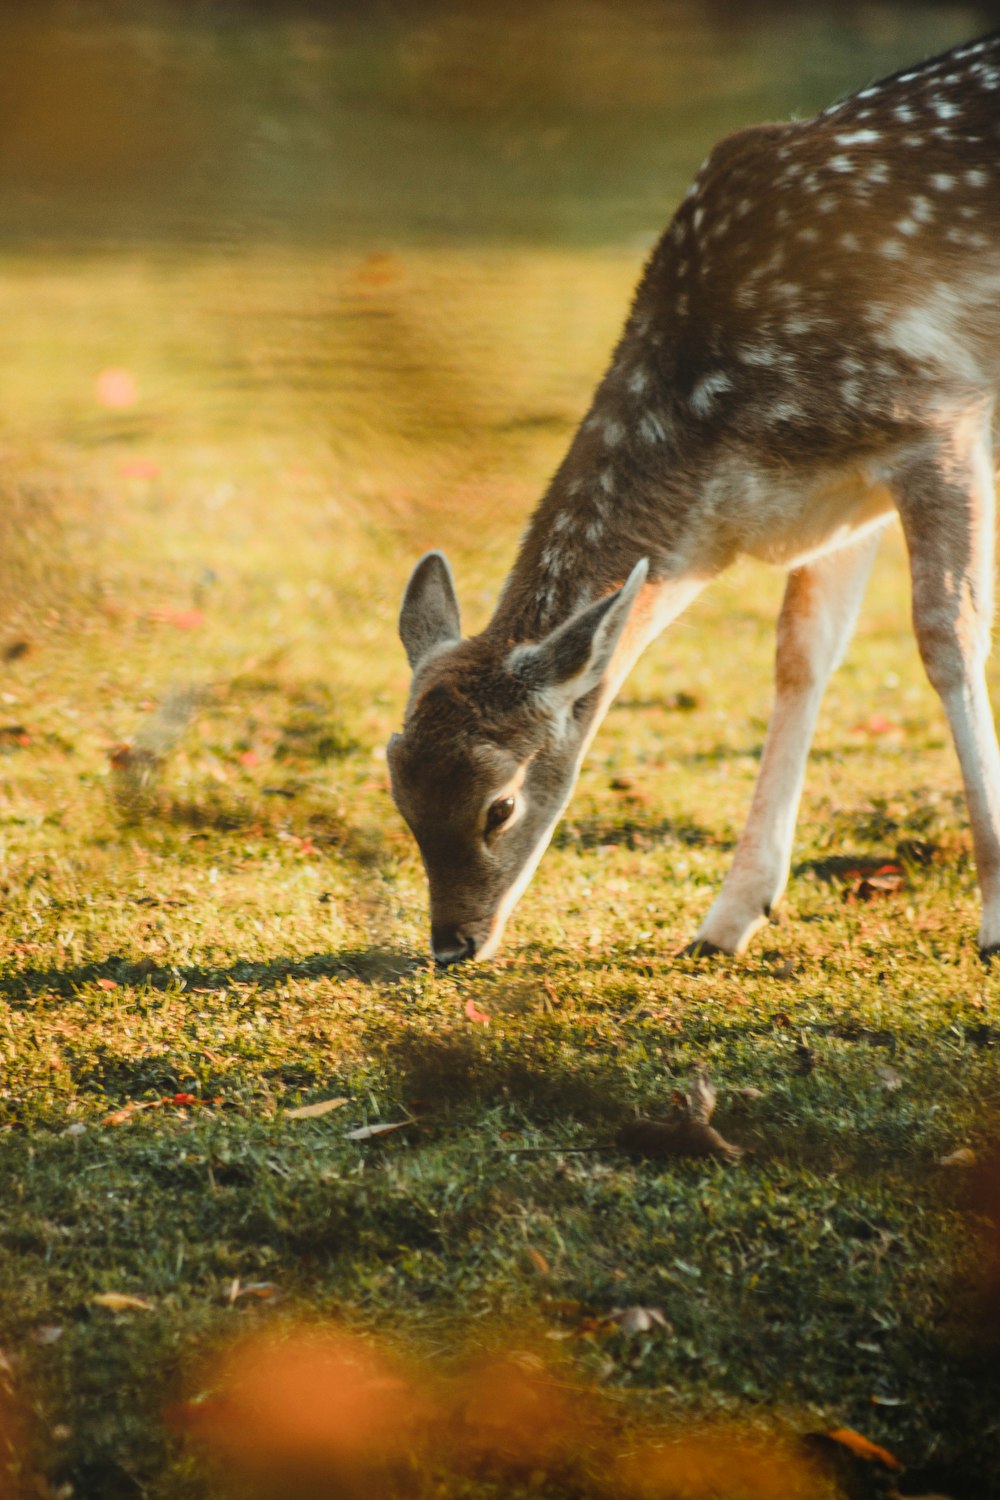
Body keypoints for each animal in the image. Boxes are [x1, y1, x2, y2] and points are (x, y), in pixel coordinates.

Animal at [386, 38, 1000, 972]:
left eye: (500, 803)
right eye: (399, 794)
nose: (452, 942)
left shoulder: (936, 417)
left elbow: (948, 636)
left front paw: (998, 920)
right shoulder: (842, 494)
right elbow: (802, 654)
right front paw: (729, 918)